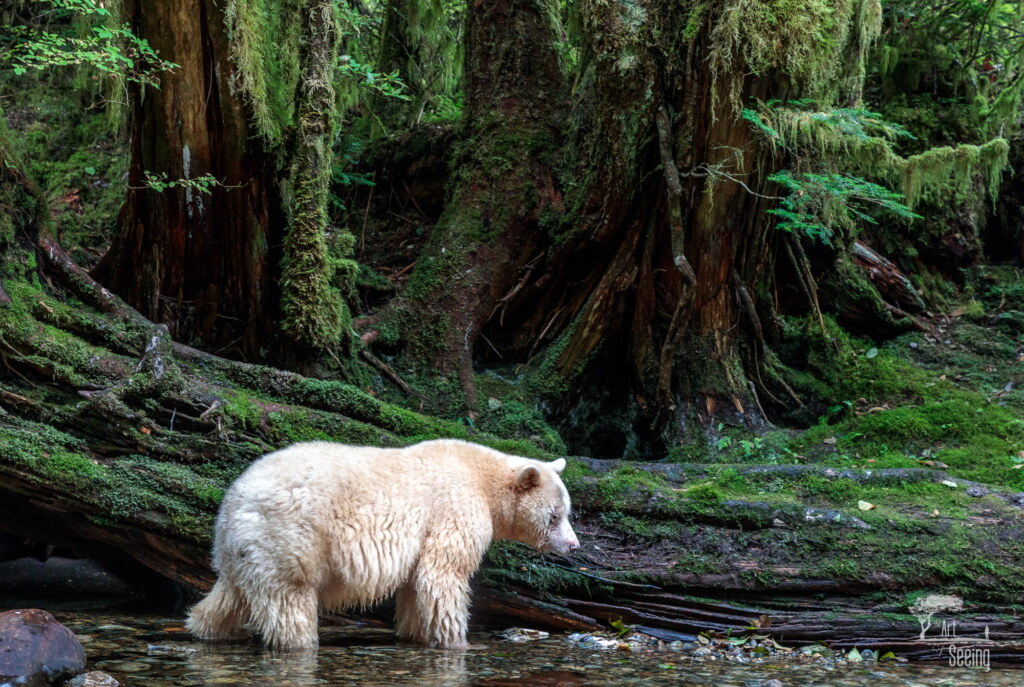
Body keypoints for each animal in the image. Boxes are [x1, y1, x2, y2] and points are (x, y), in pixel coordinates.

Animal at [185, 438, 580, 650]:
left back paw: (208, 630)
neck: (483, 479)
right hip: (289, 536)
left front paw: (416, 633)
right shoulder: (454, 507)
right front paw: (460, 642)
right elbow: (444, 574)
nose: (574, 545)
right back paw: (300, 642)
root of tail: (234, 501)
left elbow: (416, 587)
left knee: (228, 597)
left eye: (567, 511)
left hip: (242, 550)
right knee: (289, 600)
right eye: (555, 515)